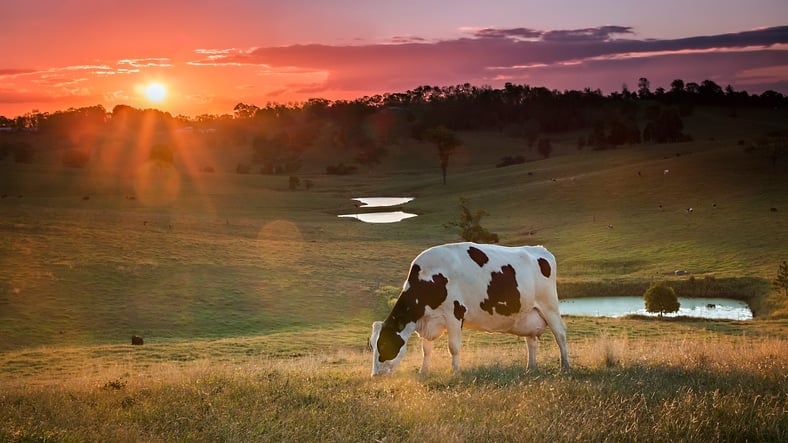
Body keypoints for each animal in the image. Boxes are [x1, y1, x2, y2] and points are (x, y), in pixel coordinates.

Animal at [370, 243, 568, 378]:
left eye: (384, 344)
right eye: (372, 345)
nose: (375, 375)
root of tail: (540, 249)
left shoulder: (454, 314)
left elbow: (453, 347)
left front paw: (455, 371)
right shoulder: (428, 321)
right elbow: (426, 349)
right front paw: (423, 371)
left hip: (549, 306)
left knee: (560, 334)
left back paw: (565, 367)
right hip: (527, 314)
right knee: (531, 342)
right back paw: (531, 368)